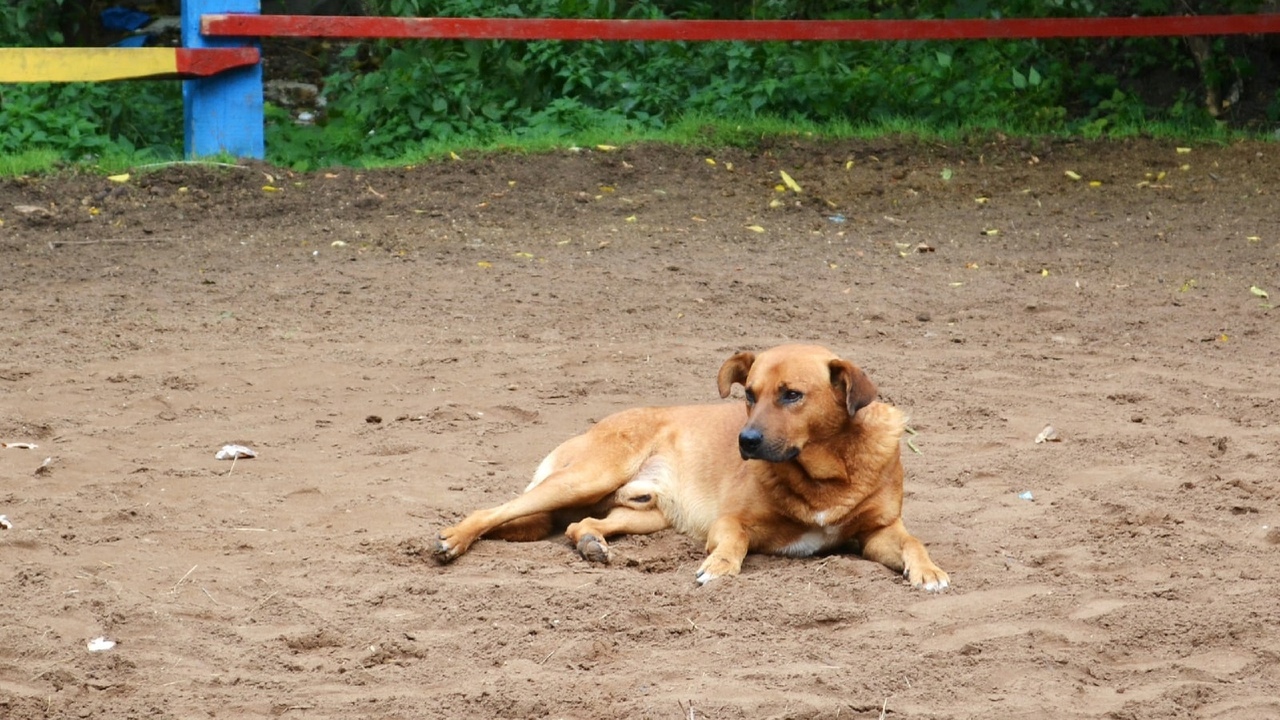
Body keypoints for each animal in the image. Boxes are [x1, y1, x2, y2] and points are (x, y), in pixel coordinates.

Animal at [435, 343, 947, 589]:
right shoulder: (732, 522)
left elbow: (912, 542)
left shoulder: (878, 532)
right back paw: (454, 539)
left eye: (792, 395)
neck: (827, 472)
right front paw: (718, 566)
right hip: (587, 476)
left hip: (643, 513)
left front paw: (929, 571)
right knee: (496, 510)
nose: (745, 441)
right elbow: (734, 543)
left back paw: (591, 544)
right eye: (749, 394)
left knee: (581, 524)